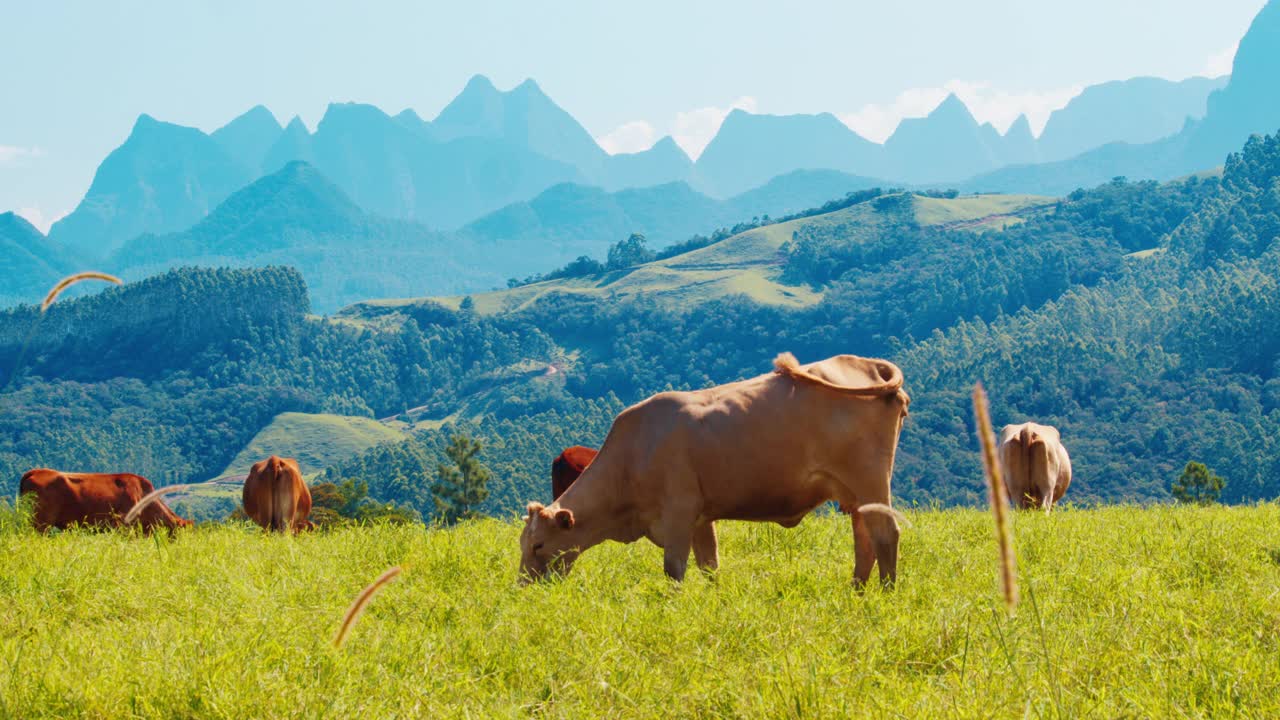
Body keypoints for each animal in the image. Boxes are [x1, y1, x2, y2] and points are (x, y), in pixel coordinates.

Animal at [519, 351, 911, 586]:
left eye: (538, 545)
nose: (523, 586)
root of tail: (864, 363)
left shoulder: (678, 513)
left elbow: (674, 571)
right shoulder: (701, 518)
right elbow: (710, 565)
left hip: (871, 481)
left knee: (885, 535)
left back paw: (886, 593)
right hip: (855, 495)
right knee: (864, 540)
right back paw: (857, 591)